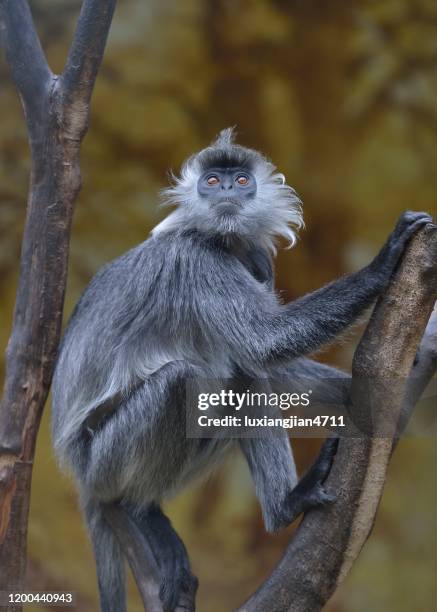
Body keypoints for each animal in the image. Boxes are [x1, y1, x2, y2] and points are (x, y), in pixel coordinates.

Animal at [51, 126, 430, 608]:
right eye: (212, 181)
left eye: (241, 180)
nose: (227, 191)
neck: (225, 243)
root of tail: (78, 471)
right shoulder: (197, 260)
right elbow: (265, 343)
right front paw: (384, 260)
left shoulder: (256, 261)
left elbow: (258, 358)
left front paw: (364, 392)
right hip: (104, 458)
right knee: (186, 379)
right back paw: (279, 505)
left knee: (239, 377)